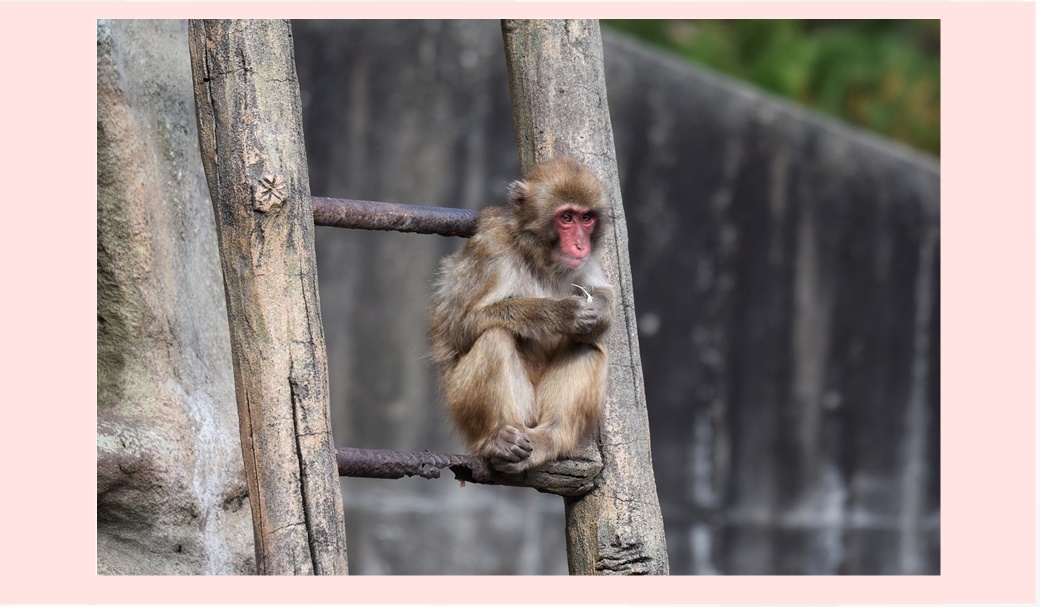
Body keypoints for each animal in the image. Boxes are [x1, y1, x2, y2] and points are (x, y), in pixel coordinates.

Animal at [432, 157, 615, 473]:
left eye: (587, 218)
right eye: (567, 217)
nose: (581, 245)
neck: (539, 256)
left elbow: (604, 297)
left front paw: (598, 312)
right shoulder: (491, 249)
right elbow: (458, 327)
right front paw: (563, 313)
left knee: (587, 344)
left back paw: (550, 437)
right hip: (464, 403)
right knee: (495, 336)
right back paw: (496, 440)